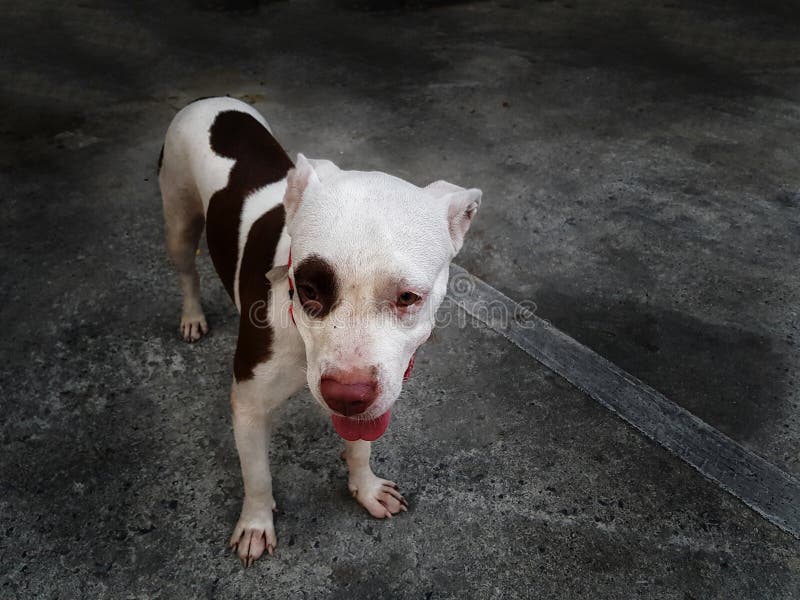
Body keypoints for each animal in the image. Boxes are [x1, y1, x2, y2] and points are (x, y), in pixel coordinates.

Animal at [157, 96, 482, 564]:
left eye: (408, 297)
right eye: (308, 288)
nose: (346, 394)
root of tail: (208, 100)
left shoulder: (374, 395)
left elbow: (360, 443)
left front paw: (365, 488)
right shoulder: (249, 405)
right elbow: (257, 475)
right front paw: (255, 524)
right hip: (178, 221)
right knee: (187, 270)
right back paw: (191, 315)